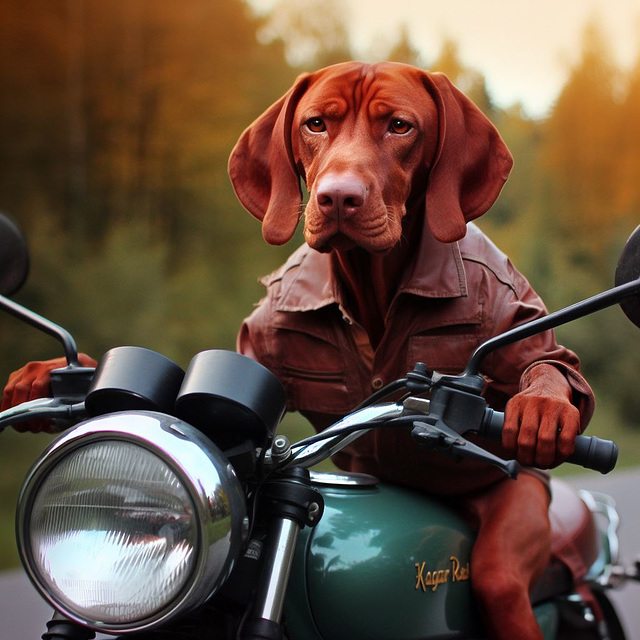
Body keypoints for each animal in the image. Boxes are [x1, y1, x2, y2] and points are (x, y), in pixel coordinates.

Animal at [229, 61, 596, 640]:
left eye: (400, 126)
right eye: (315, 124)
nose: (337, 198)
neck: (374, 286)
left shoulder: (501, 298)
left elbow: (549, 365)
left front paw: (543, 407)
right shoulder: (265, 328)